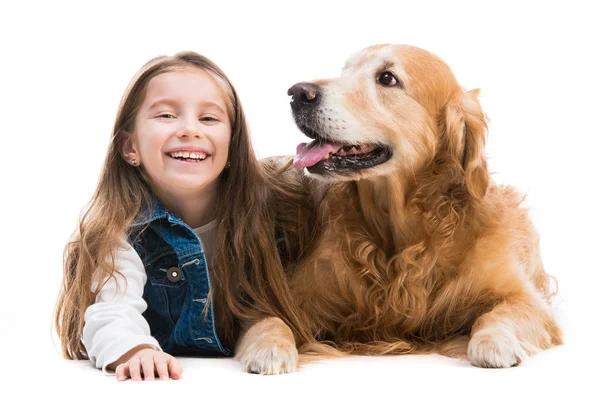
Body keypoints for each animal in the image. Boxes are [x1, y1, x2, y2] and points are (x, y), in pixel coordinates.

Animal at [234, 43, 564, 372]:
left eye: (387, 78)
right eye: (345, 70)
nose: (297, 92)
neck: (399, 234)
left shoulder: (526, 299)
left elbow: (502, 312)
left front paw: (495, 341)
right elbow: (270, 319)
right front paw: (269, 348)